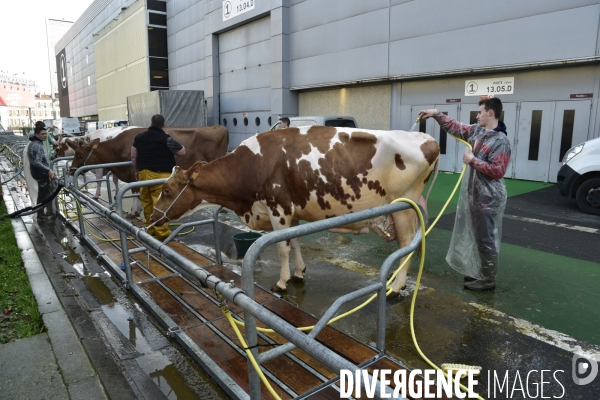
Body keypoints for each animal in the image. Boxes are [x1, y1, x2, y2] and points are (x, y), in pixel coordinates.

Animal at [149, 126, 440, 296]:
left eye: (167, 190)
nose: (151, 217)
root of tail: (427, 138)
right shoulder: (294, 212)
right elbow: (296, 241)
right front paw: (299, 273)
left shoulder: (279, 208)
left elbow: (282, 248)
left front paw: (281, 282)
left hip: (404, 207)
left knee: (407, 245)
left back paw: (396, 287)